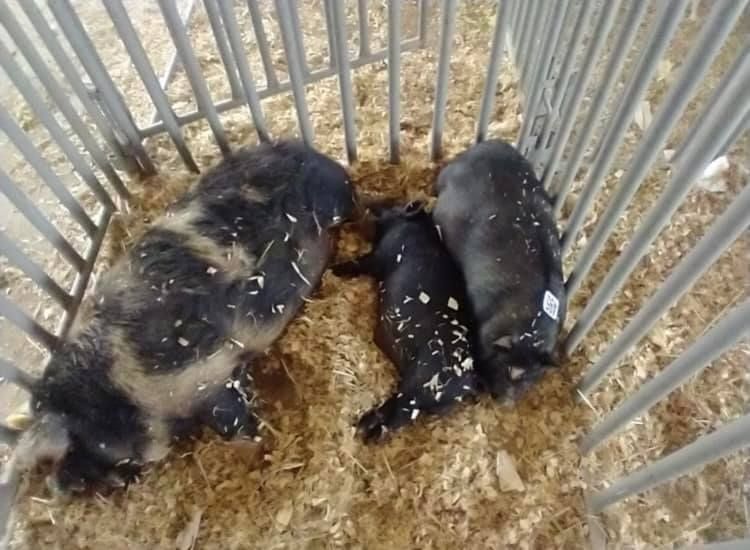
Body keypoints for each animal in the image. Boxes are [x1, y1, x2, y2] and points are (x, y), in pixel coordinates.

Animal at [0, 140, 358, 493]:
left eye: (75, 450)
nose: (57, 488)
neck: (119, 390)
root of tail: (318, 155)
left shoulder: (207, 373)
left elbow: (233, 421)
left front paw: (255, 449)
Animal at [332, 200, 479, 442]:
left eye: (386, 205)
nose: (363, 203)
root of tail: (465, 383)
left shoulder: (381, 255)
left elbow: (360, 263)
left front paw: (333, 270)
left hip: (422, 379)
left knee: (398, 413)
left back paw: (363, 430)